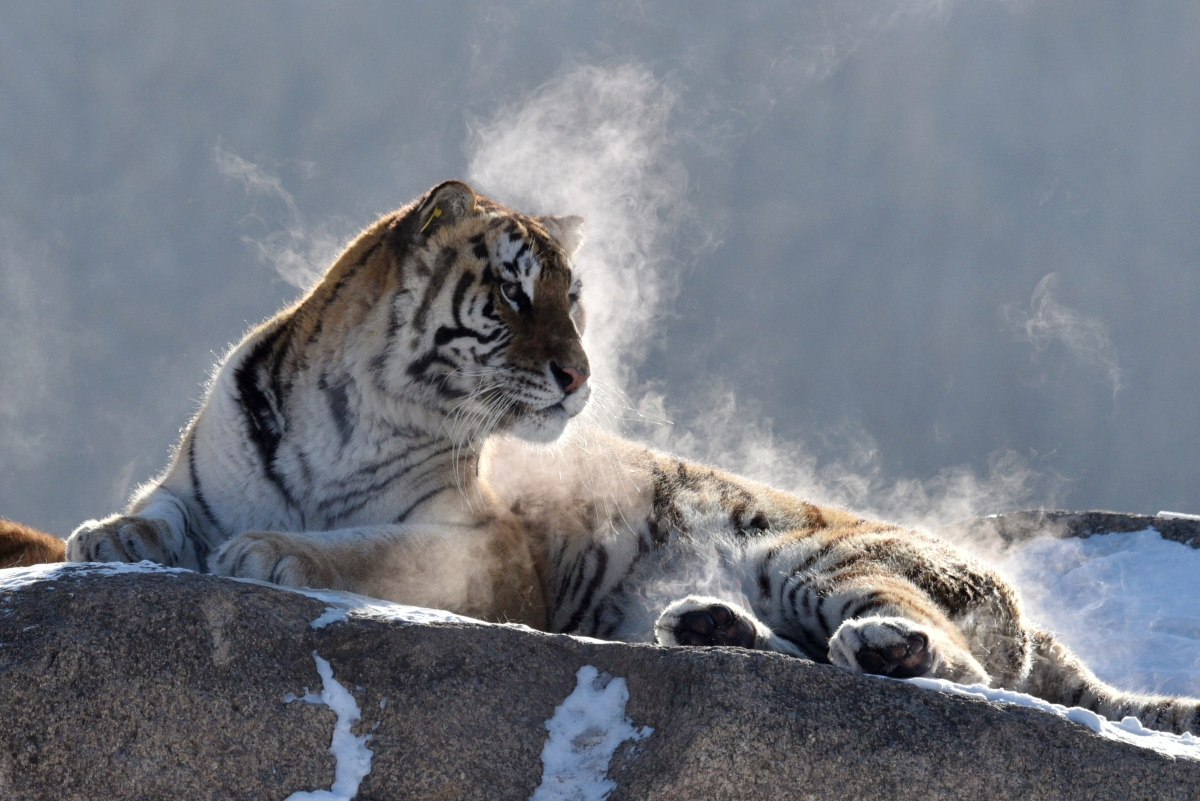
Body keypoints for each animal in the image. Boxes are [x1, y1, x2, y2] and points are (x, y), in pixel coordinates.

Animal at [64, 180, 591, 627]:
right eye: (512, 291)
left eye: (570, 301)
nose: (580, 375)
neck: (344, 415)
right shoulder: (191, 487)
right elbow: (162, 510)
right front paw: (111, 535)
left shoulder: (486, 541)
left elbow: (378, 547)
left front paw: (271, 551)